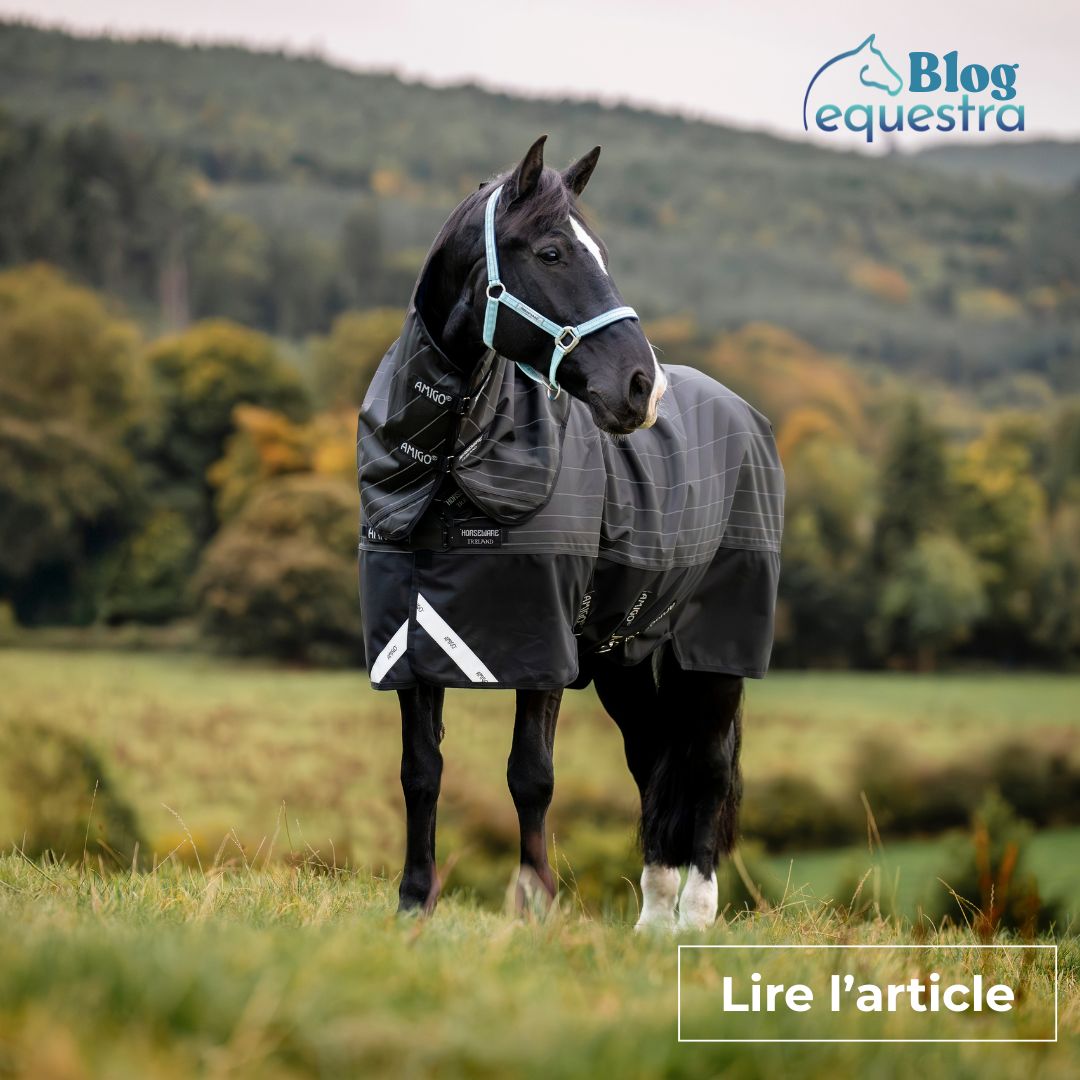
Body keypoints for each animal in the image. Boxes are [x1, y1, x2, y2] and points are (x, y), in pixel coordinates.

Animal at [356, 136, 783, 930]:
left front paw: (535, 908)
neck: (453, 464)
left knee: (706, 765)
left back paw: (696, 915)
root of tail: (744, 413)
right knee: (654, 759)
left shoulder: (542, 645)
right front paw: (413, 905)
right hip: (623, 656)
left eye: (601, 252)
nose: (641, 387)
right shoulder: (410, 639)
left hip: (715, 651)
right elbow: (420, 771)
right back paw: (652, 921)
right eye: (552, 252)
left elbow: (532, 775)